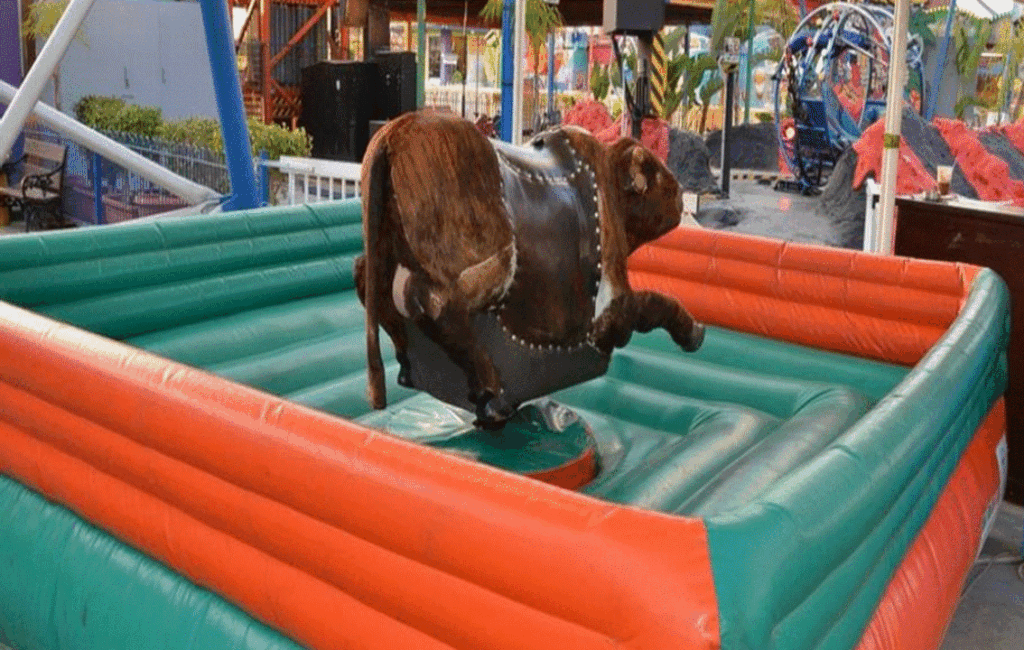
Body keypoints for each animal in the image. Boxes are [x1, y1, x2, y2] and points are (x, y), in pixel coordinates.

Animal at [354, 110, 704, 427]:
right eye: (655, 171)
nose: (680, 193)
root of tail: (393, 135)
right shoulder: (611, 310)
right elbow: (656, 303)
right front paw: (694, 333)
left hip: (381, 253)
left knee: (374, 288)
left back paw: (408, 364)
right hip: (494, 259)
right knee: (436, 304)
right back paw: (489, 389)